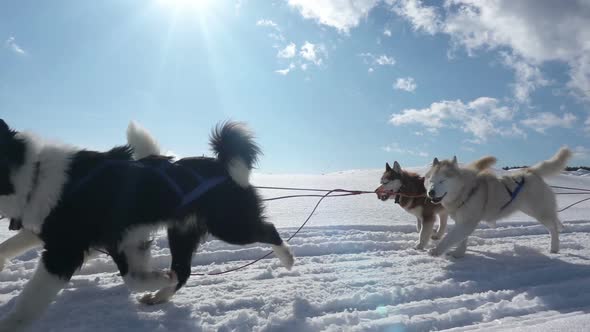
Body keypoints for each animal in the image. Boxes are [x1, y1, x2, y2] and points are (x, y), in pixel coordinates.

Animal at [0, 118, 296, 330]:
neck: (33, 174)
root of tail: (222, 165)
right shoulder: (117, 240)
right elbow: (133, 278)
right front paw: (158, 278)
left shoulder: (66, 250)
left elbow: (31, 298)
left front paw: (11, 323)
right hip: (182, 233)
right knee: (183, 271)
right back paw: (160, 296)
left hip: (230, 226)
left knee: (268, 230)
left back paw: (288, 258)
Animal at [426, 148, 572, 260]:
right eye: (431, 180)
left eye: (442, 181)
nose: (430, 192)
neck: (465, 190)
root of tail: (530, 171)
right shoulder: (463, 222)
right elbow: (461, 239)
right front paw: (458, 254)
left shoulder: (467, 222)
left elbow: (449, 238)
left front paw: (436, 250)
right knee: (555, 222)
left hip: (539, 212)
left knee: (553, 228)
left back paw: (554, 247)